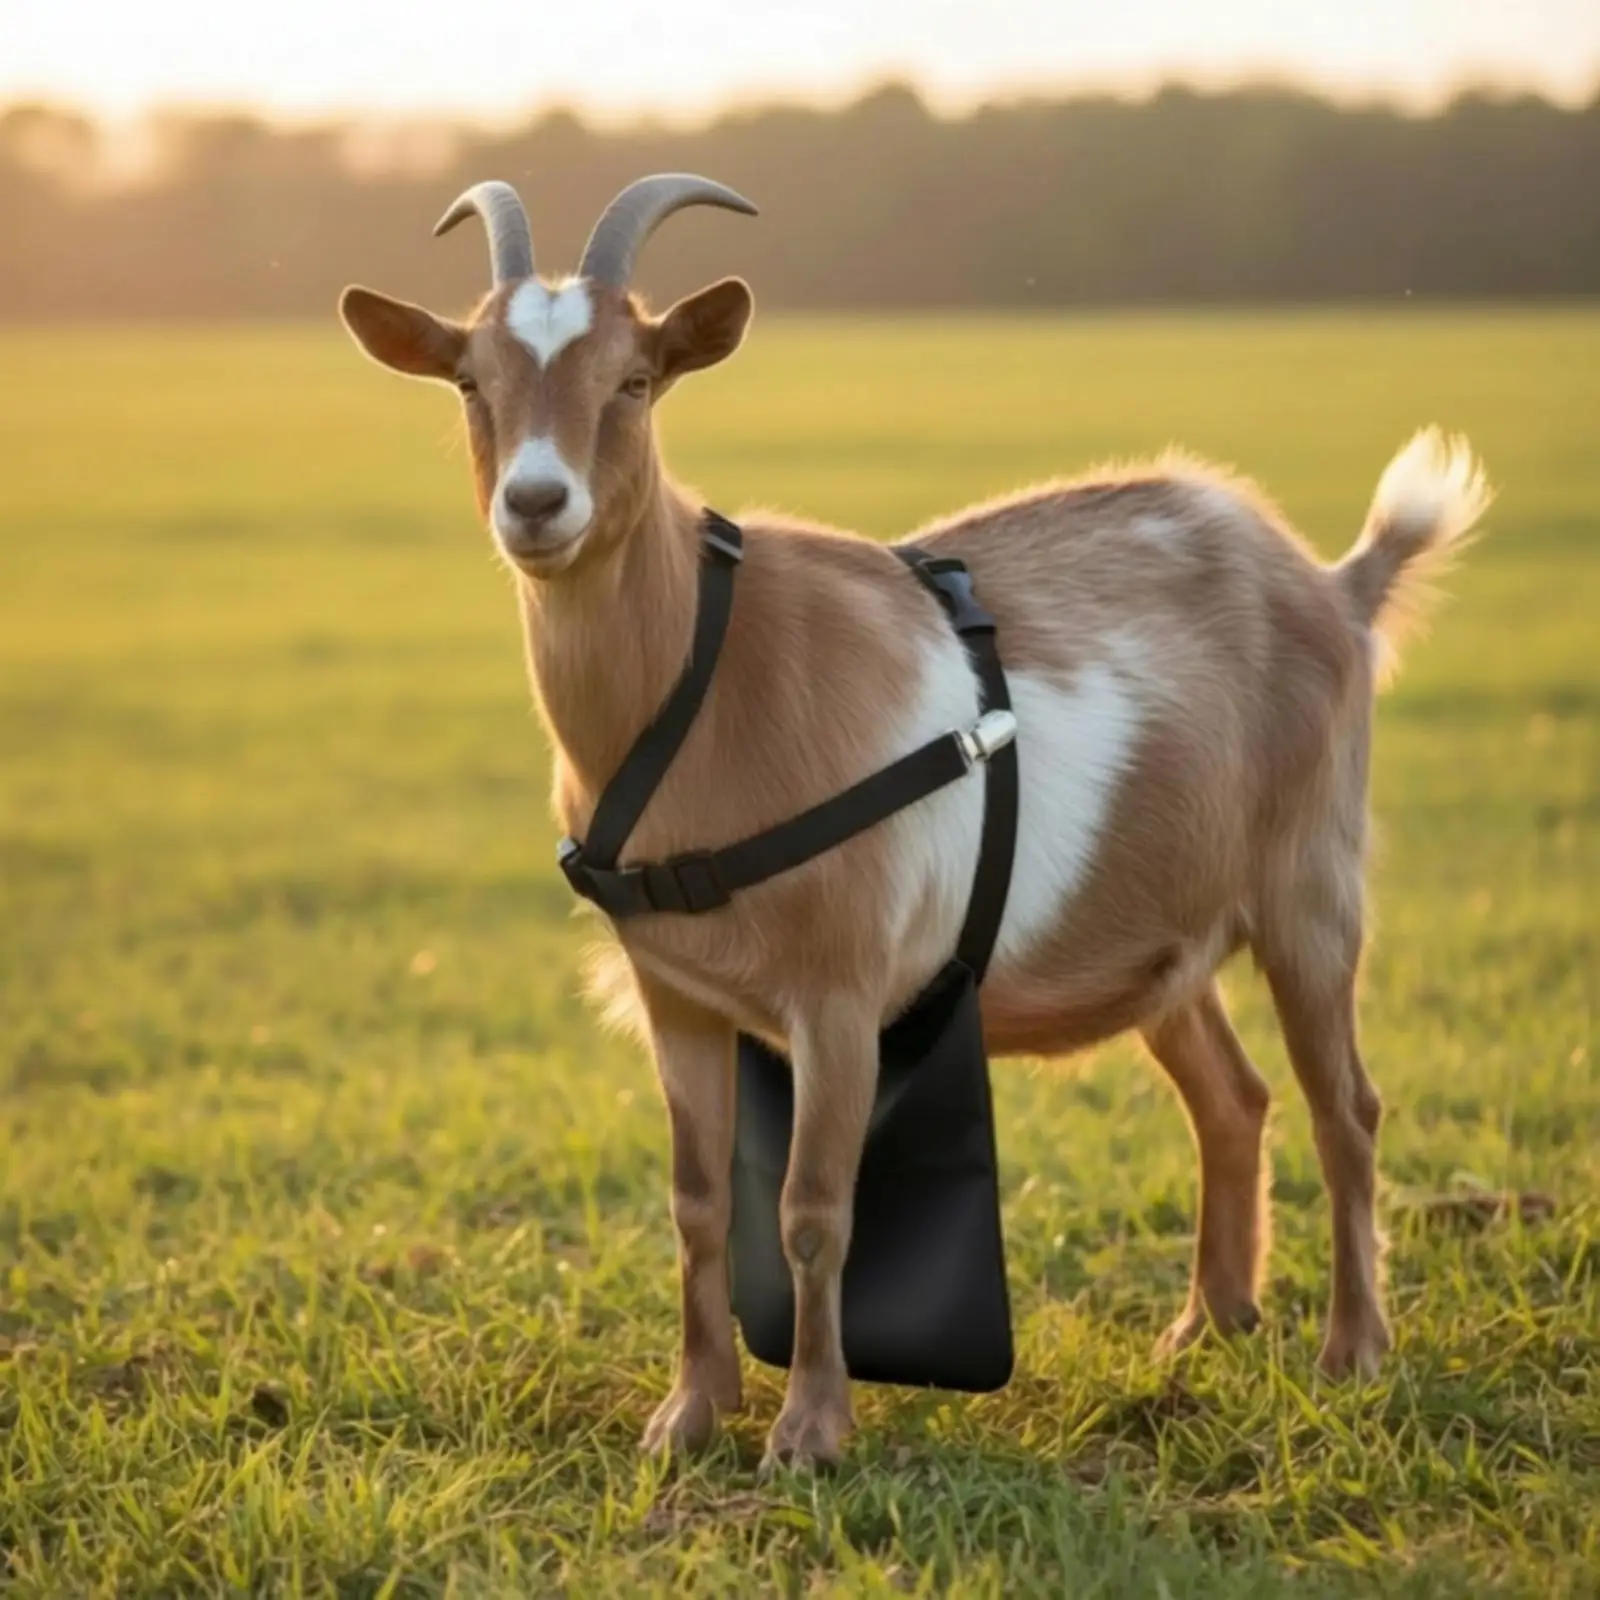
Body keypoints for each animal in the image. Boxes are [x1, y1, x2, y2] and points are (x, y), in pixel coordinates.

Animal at [338, 174, 1492, 1471]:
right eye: (470, 380)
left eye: (634, 377)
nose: (538, 503)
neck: (706, 672)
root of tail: (1335, 586)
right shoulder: (675, 992)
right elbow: (697, 1203)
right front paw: (688, 1413)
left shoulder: (839, 991)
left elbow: (811, 1209)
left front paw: (808, 1431)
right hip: (1161, 934)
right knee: (1230, 1097)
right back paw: (1208, 1326)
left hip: (1308, 887)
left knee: (1345, 1104)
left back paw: (1353, 1351)